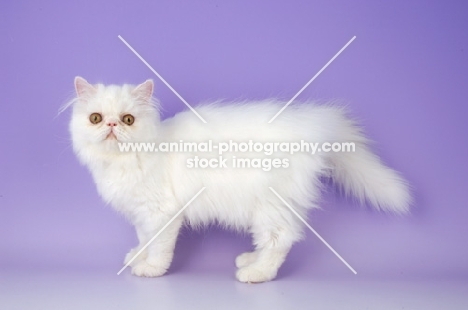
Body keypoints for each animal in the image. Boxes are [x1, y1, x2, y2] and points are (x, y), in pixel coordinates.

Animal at [66, 76, 410, 282]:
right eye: (96, 118)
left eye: (128, 120)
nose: (111, 125)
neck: (122, 163)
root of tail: (312, 124)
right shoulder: (141, 212)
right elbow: (143, 237)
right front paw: (137, 255)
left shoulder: (161, 212)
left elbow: (159, 245)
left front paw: (150, 267)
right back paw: (249, 261)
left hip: (270, 205)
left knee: (281, 240)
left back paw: (257, 273)